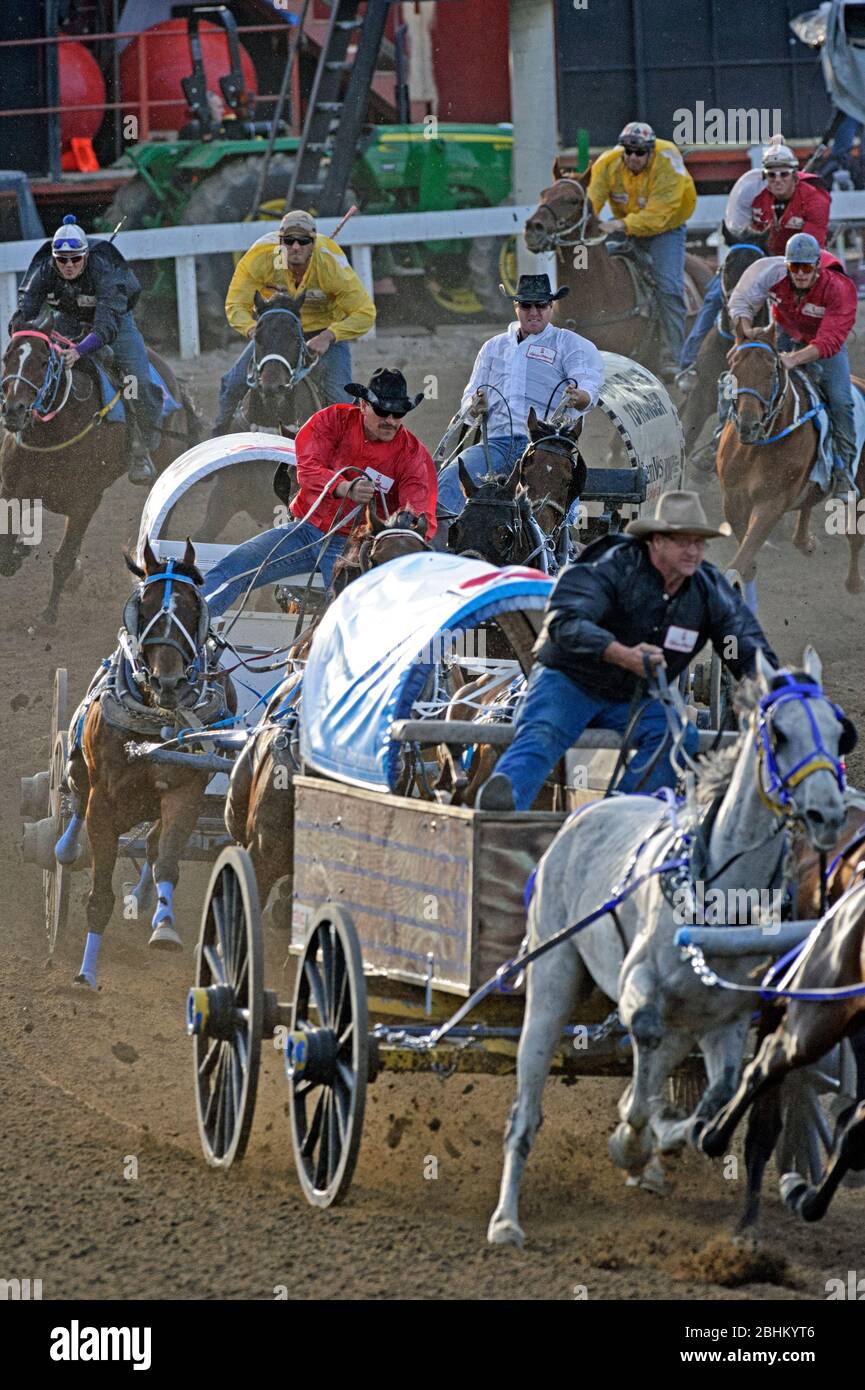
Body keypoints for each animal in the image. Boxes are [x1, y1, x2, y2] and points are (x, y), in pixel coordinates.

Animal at [0, 318, 201, 622]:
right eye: (7, 357)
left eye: (43, 361)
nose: (13, 410)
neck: (52, 434)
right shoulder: (10, 490)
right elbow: (5, 547)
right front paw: (19, 553)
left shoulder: (86, 501)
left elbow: (63, 559)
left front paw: (48, 617)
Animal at [61, 533, 237, 989]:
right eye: (145, 607)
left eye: (193, 608)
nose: (168, 681)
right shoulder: (103, 803)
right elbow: (100, 893)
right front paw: (86, 972)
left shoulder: (184, 792)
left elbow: (168, 860)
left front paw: (165, 927)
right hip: (80, 774)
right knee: (74, 799)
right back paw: (65, 848)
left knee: (154, 846)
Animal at [489, 650, 856, 1251]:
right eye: (779, 734)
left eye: (838, 731)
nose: (828, 815)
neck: (721, 901)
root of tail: (585, 814)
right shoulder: (640, 988)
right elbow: (644, 1050)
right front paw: (632, 1141)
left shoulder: (724, 1021)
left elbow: (716, 1098)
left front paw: (658, 1144)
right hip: (551, 980)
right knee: (527, 1106)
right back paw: (506, 1220)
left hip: (688, 1021)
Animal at [717, 328, 865, 594]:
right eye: (734, 369)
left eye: (770, 373)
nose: (748, 425)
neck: (758, 447)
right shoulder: (732, 498)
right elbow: (744, 550)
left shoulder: (771, 502)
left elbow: (744, 553)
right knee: (808, 504)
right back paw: (806, 542)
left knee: (855, 536)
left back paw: (854, 582)